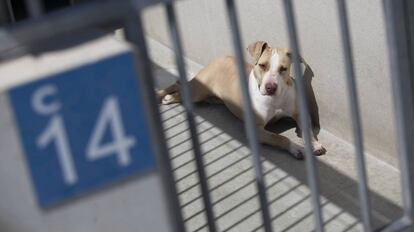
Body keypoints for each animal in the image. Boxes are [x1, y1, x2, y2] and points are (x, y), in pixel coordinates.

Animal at [157, 40, 326, 159]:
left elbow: (307, 130)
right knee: (179, 86)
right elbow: (280, 137)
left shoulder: (300, 114)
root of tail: (219, 58)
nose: (270, 87)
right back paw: (165, 96)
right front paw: (296, 148)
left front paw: (315, 144)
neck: (276, 99)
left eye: (283, 69)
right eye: (262, 65)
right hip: (197, 91)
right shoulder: (256, 130)